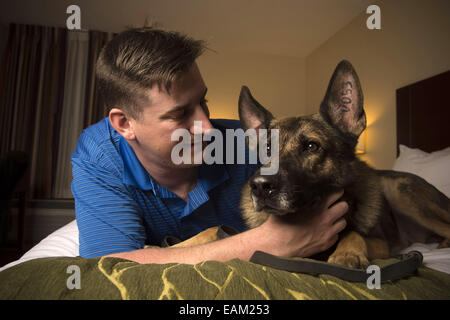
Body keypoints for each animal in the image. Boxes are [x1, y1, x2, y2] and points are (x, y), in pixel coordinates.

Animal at [239, 60, 450, 270]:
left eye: (311, 146)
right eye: (267, 149)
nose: (259, 186)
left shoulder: (380, 243)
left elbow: (354, 233)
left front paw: (347, 253)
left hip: (401, 192)